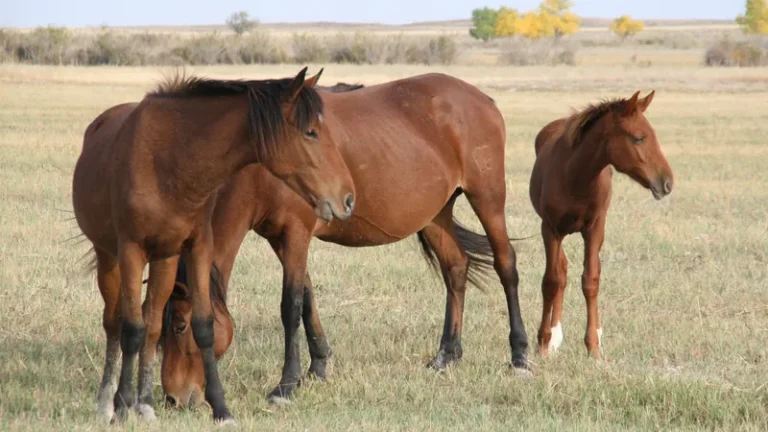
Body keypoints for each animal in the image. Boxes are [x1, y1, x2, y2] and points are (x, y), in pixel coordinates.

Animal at [72, 67, 357, 425]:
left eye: (180, 327)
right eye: (311, 132)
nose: (348, 198)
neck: (170, 160)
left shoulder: (196, 247)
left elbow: (202, 325)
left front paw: (220, 408)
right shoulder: (132, 251)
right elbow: (132, 330)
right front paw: (122, 408)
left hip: (164, 259)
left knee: (150, 321)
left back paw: (144, 403)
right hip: (109, 256)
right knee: (115, 323)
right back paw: (108, 402)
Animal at [156, 72, 531, 408]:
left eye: (179, 327)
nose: (174, 399)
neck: (258, 164)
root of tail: (483, 99)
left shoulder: (295, 234)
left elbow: (290, 306)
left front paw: (285, 386)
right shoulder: (281, 239)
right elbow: (308, 300)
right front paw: (318, 367)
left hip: (487, 198)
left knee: (506, 265)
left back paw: (520, 355)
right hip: (436, 214)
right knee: (455, 269)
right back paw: (446, 355)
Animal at [528, 90, 674, 359]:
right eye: (639, 138)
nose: (667, 182)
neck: (575, 176)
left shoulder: (595, 229)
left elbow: (591, 280)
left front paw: (593, 346)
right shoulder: (550, 229)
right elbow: (551, 281)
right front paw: (543, 343)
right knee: (561, 271)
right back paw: (554, 336)